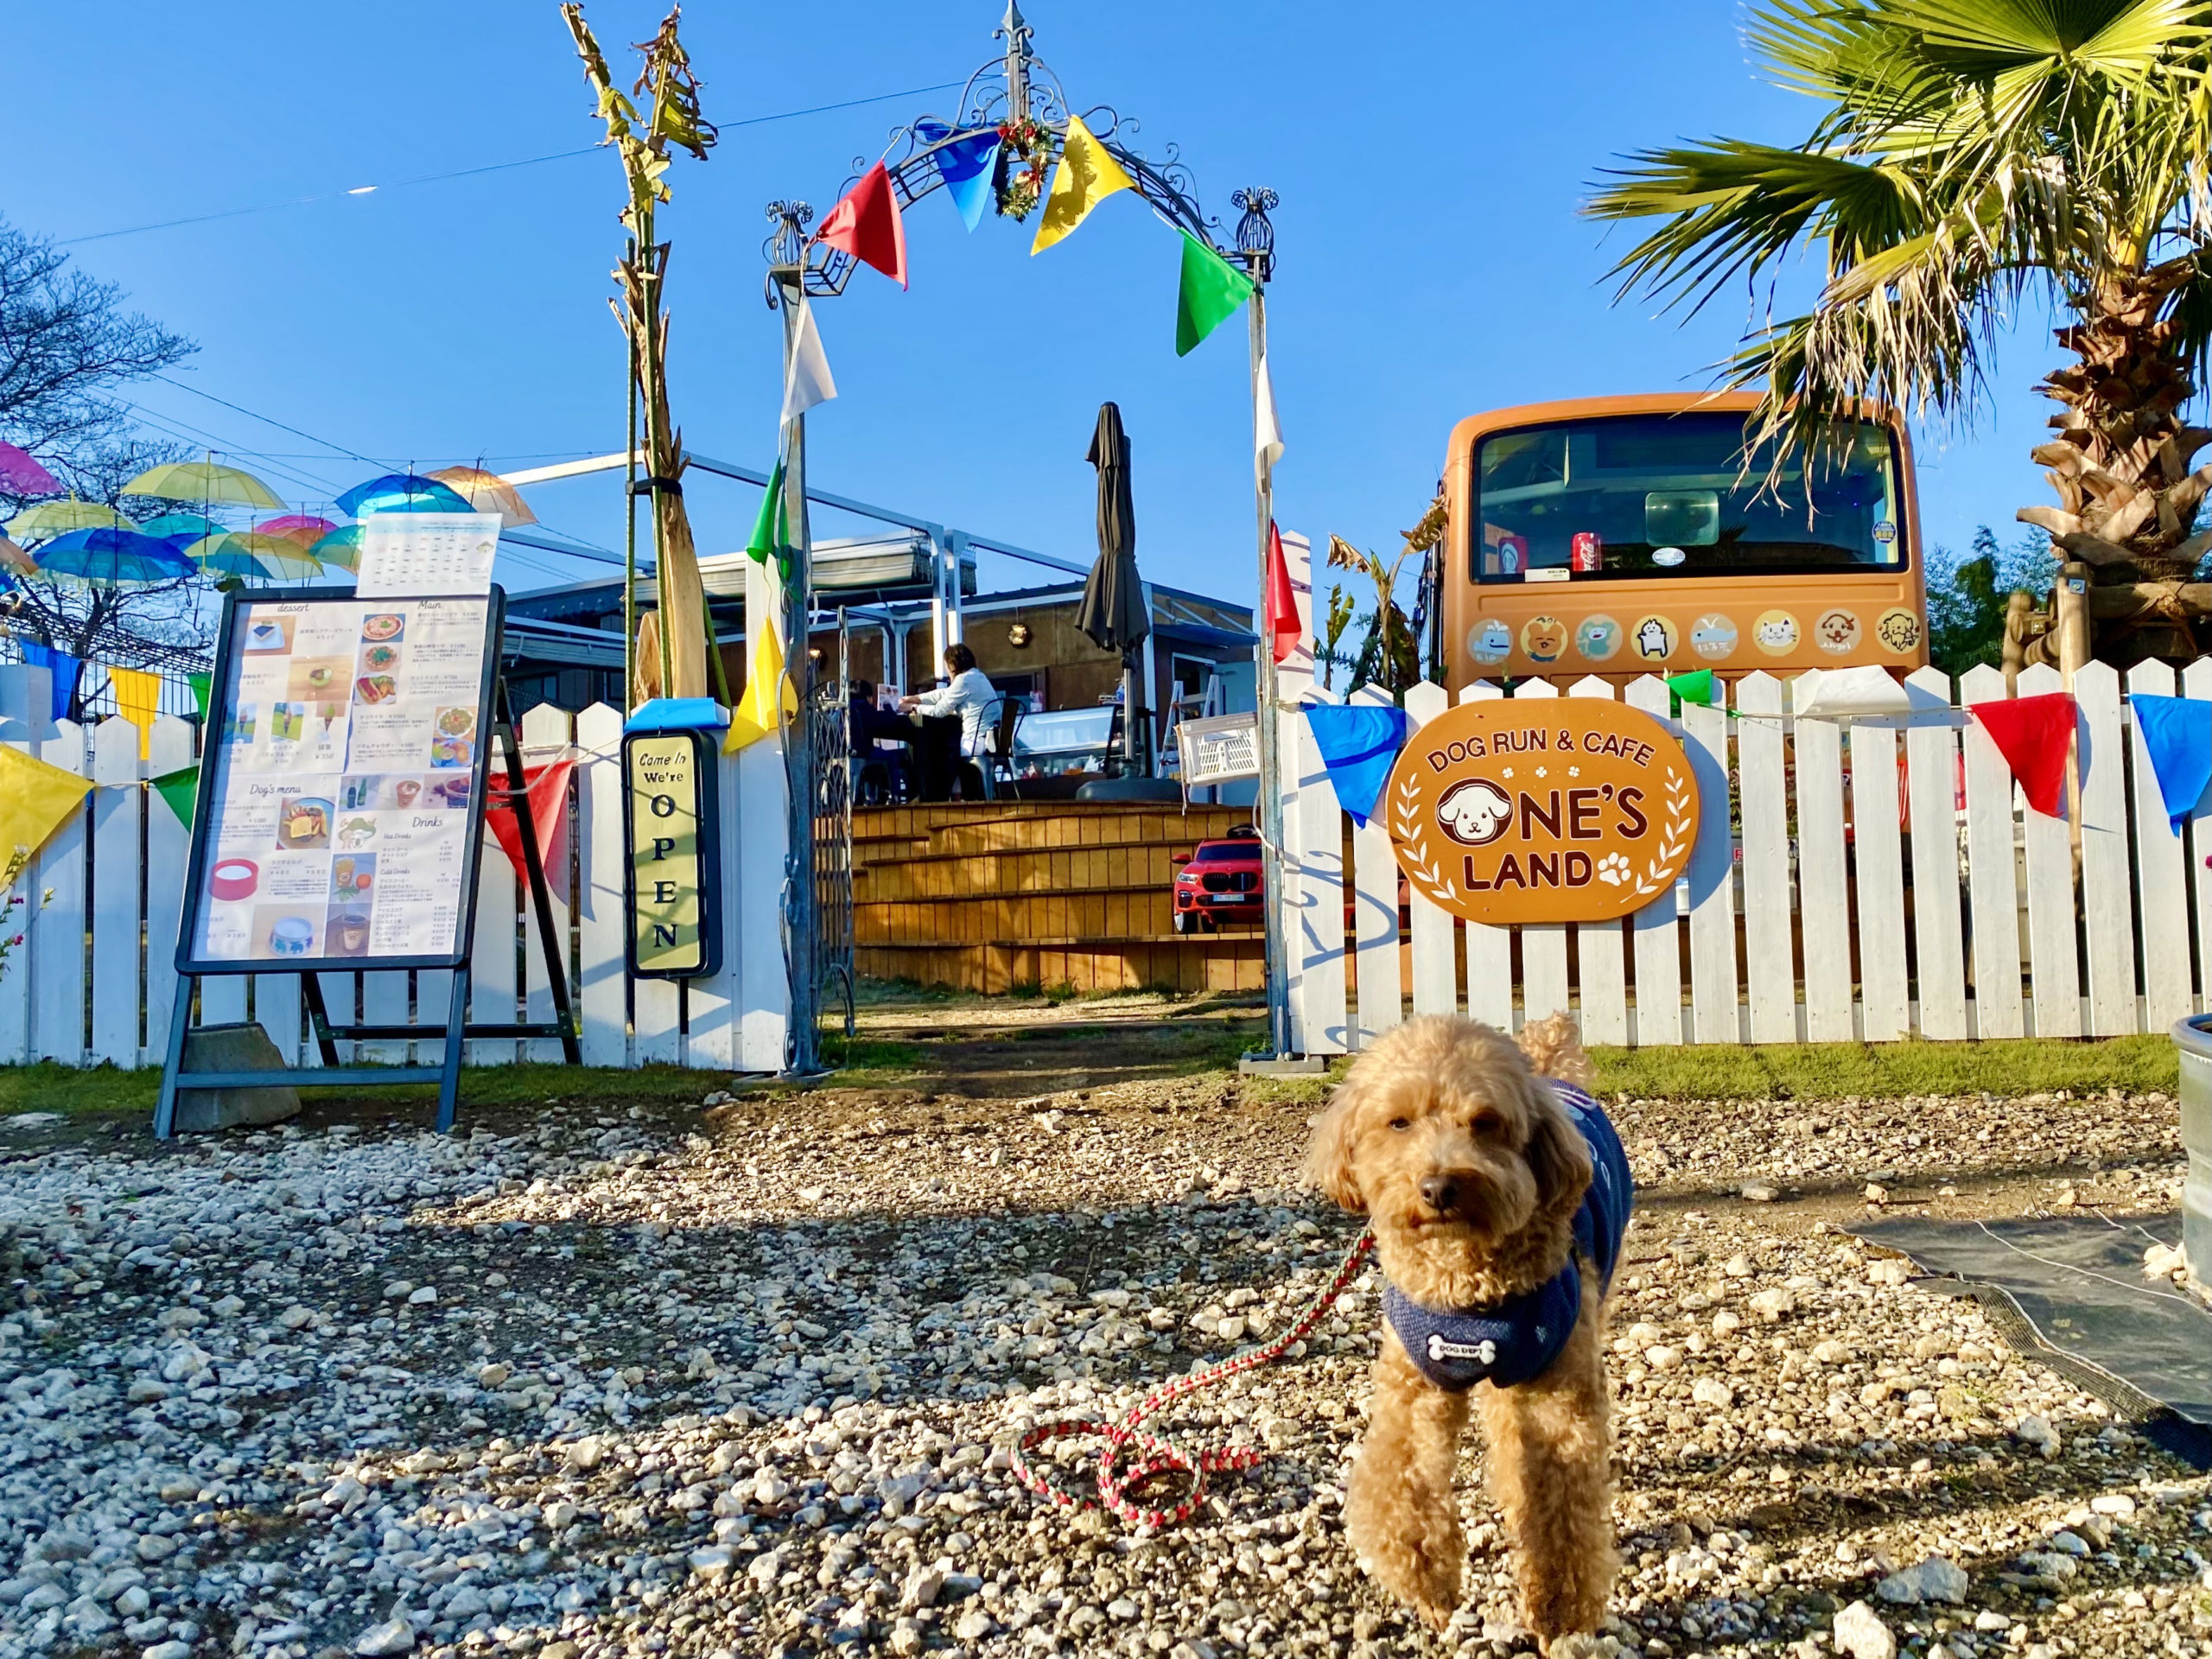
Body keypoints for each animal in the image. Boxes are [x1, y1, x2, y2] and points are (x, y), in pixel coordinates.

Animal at [1300, 1013, 1637, 1654]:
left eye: (1485, 1123)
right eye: (1399, 1122)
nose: (1437, 1188)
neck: (1466, 1291)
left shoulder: (1556, 1393)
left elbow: (1560, 1514)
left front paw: (1556, 1613)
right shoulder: (1414, 1387)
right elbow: (1402, 1483)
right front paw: (1428, 1585)